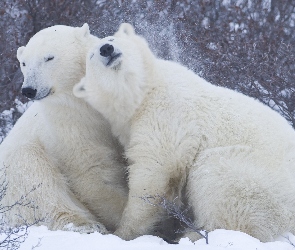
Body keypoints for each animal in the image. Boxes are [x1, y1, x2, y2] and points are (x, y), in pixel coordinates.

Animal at [0, 24, 128, 233]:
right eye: (24, 63)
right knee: (35, 178)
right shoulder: (69, 124)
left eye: (49, 57)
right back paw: (85, 225)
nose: (29, 89)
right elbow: (93, 172)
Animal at [74, 23, 295, 242]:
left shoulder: (166, 111)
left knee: (217, 178)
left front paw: (124, 232)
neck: (143, 92)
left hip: (258, 180)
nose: (106, 49)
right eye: (91, 55)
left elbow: (155, 169)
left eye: (112, 39)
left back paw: (193, 234)